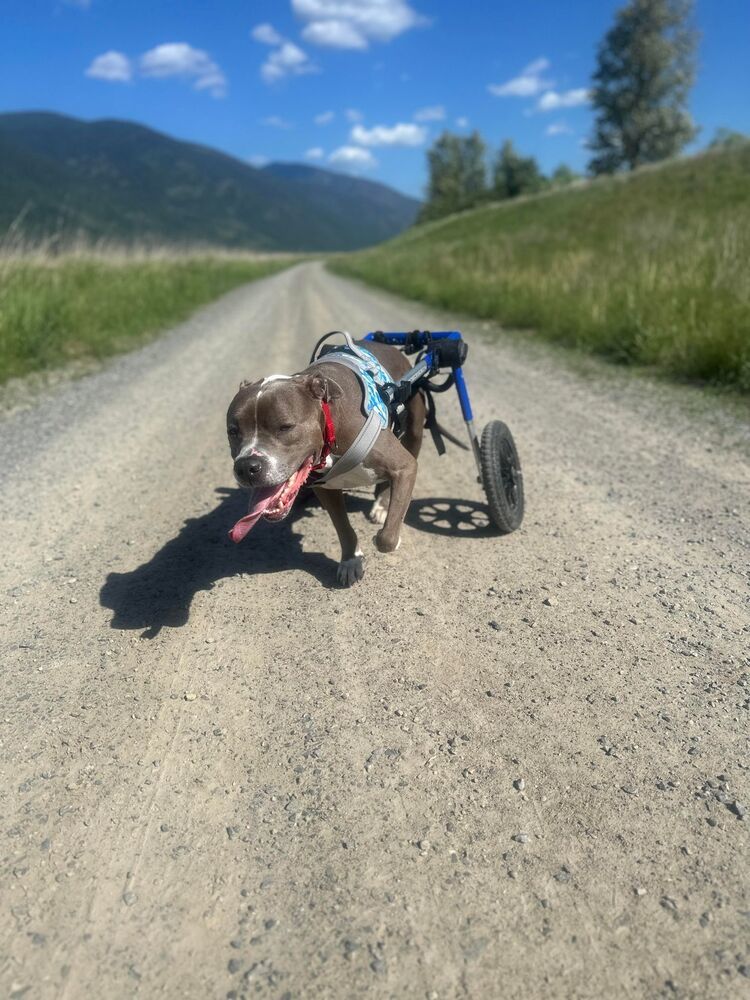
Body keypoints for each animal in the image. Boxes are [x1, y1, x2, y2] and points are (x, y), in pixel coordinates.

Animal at [226, 342, 426, 584]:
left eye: (285, 427)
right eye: (233, 431)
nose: (247, 467)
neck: (330, 421)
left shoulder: (404, 466)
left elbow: (385, 539)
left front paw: (386, 538)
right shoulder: (325, 489)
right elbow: (343, 527)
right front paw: (351, 560)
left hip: (414, 430)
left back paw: (382, 504)